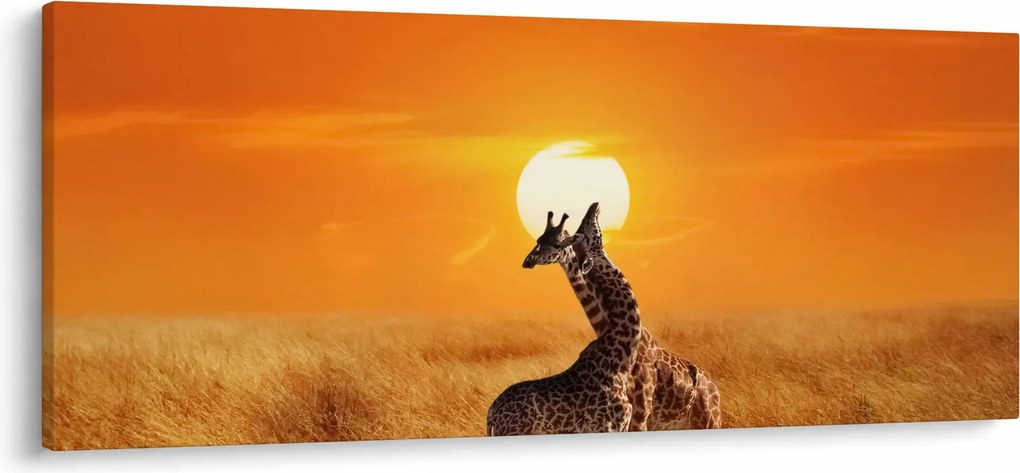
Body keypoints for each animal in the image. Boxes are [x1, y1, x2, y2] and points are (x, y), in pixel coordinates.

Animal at [485, 212, 642, 436]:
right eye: (539, 241)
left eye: (555, 243)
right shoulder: (606, 425)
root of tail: (491, 414)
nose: (528, 260)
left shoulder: (620, 426)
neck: (620, 362)